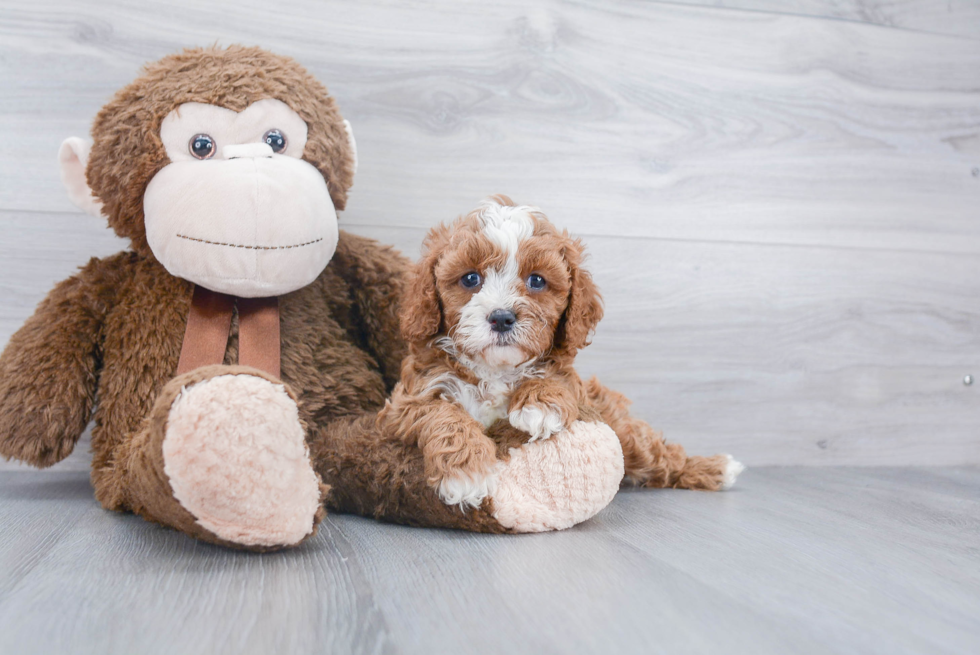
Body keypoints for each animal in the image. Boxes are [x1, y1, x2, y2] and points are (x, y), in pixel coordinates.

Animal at [380, 197, 744, 510]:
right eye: (470, 278)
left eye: (537, 281)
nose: (502, 317)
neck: (495, 370)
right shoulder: (407, 402)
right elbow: (444, 415)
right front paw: (466, 473)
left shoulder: (577, 388)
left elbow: (558, 378)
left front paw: (539, 405)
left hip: (623, 430)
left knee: (660, 456)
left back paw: (715, 468)